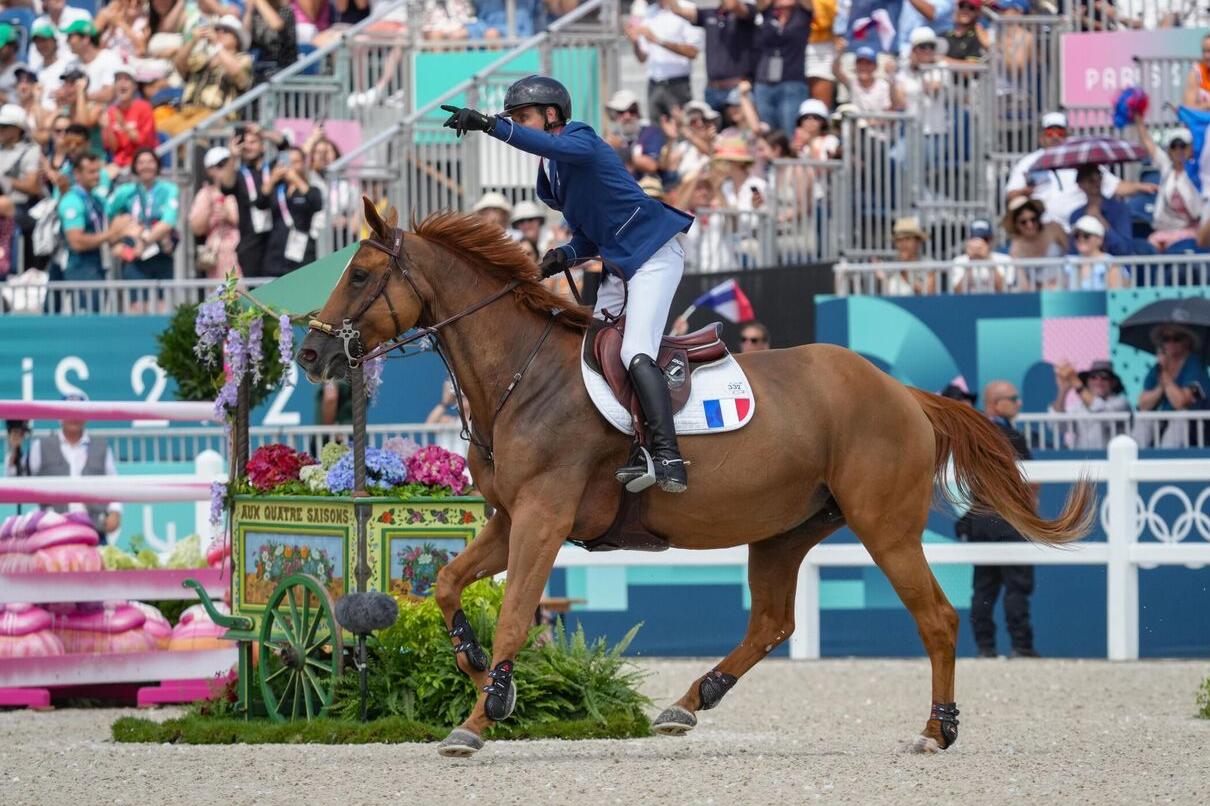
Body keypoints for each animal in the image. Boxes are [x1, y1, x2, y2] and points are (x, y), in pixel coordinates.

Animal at [297, 200, 1093, 755]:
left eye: (360, 275)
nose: (309, 355)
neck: (523, 376)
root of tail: (902, 392)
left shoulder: (544, 518)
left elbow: (518, 614)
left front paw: (477, 717)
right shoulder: (508, 519)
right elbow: (446, 584)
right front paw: (479, 677)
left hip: (883, 524)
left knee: (937, 617)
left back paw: (936, 730)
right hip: (787, 527)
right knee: (772, 621)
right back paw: (689, 700)